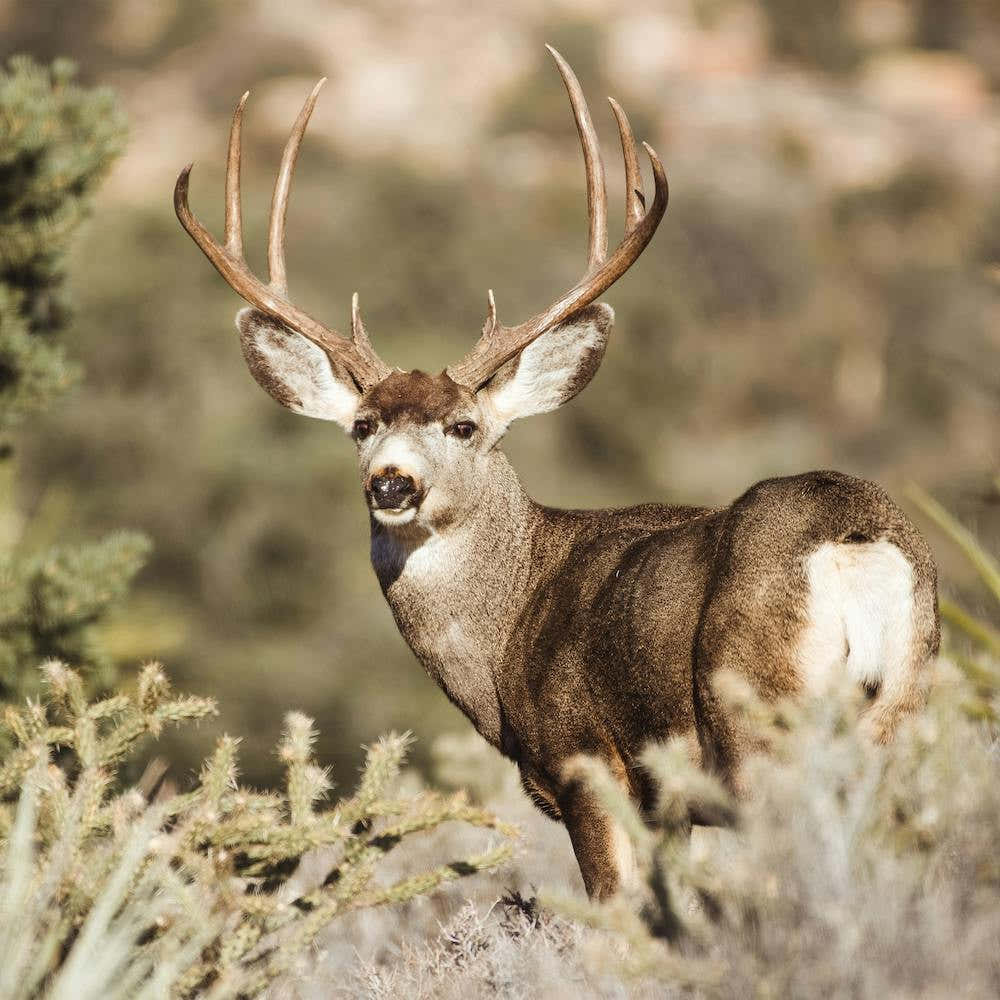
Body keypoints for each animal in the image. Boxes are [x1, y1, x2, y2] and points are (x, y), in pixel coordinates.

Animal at [175, 47, 939, 900]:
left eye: (464, 426)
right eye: (362, 427)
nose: (392, 483)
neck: (508, 620)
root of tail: (854, 541)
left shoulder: (584, 761)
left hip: (757, 726)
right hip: (901, 712)